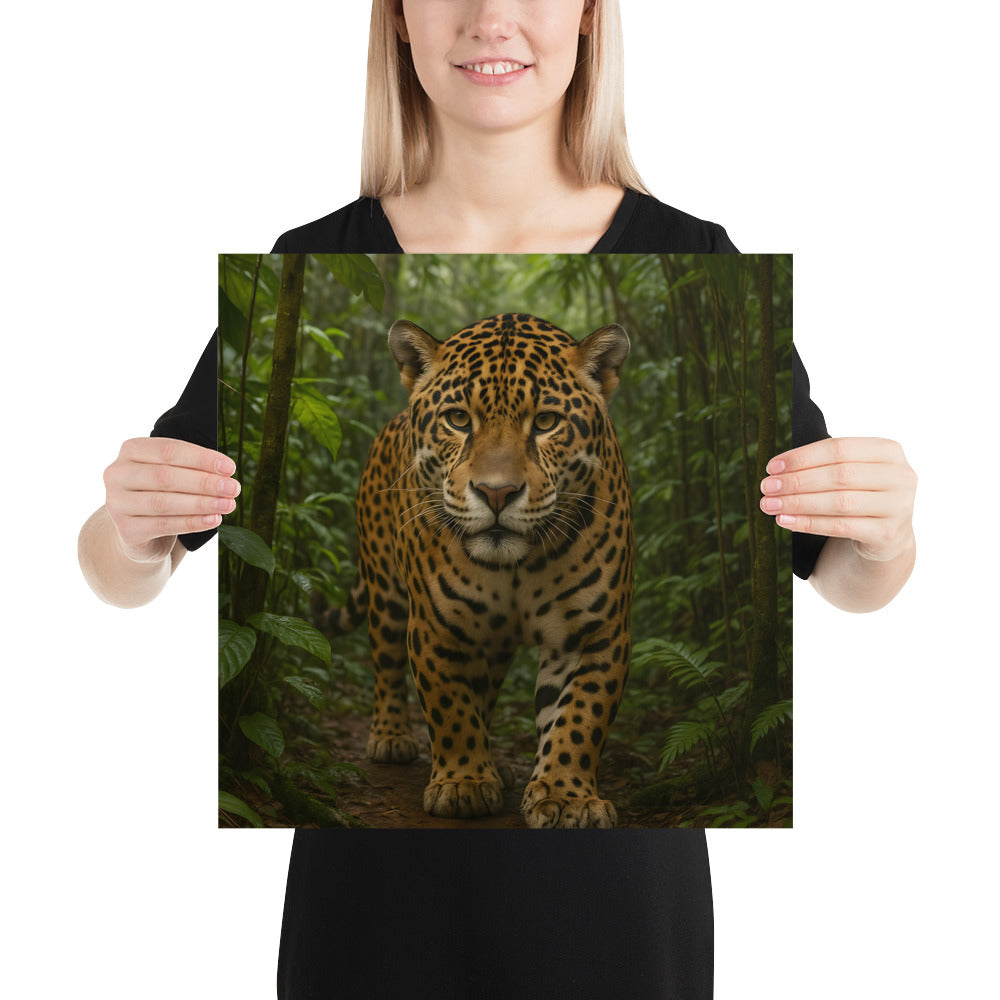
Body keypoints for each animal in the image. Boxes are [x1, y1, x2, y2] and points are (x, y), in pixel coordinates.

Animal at [328, 314, 634, 828]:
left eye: (546, 422)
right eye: (458, 419)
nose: (496, 493)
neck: (519, 566)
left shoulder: (595, 633)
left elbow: (579, 718)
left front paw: (566, 796)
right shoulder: (436, 626)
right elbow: (449, 707)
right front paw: (463, 784)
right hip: (385, 590)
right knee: (386, 662)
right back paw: (391, 737)